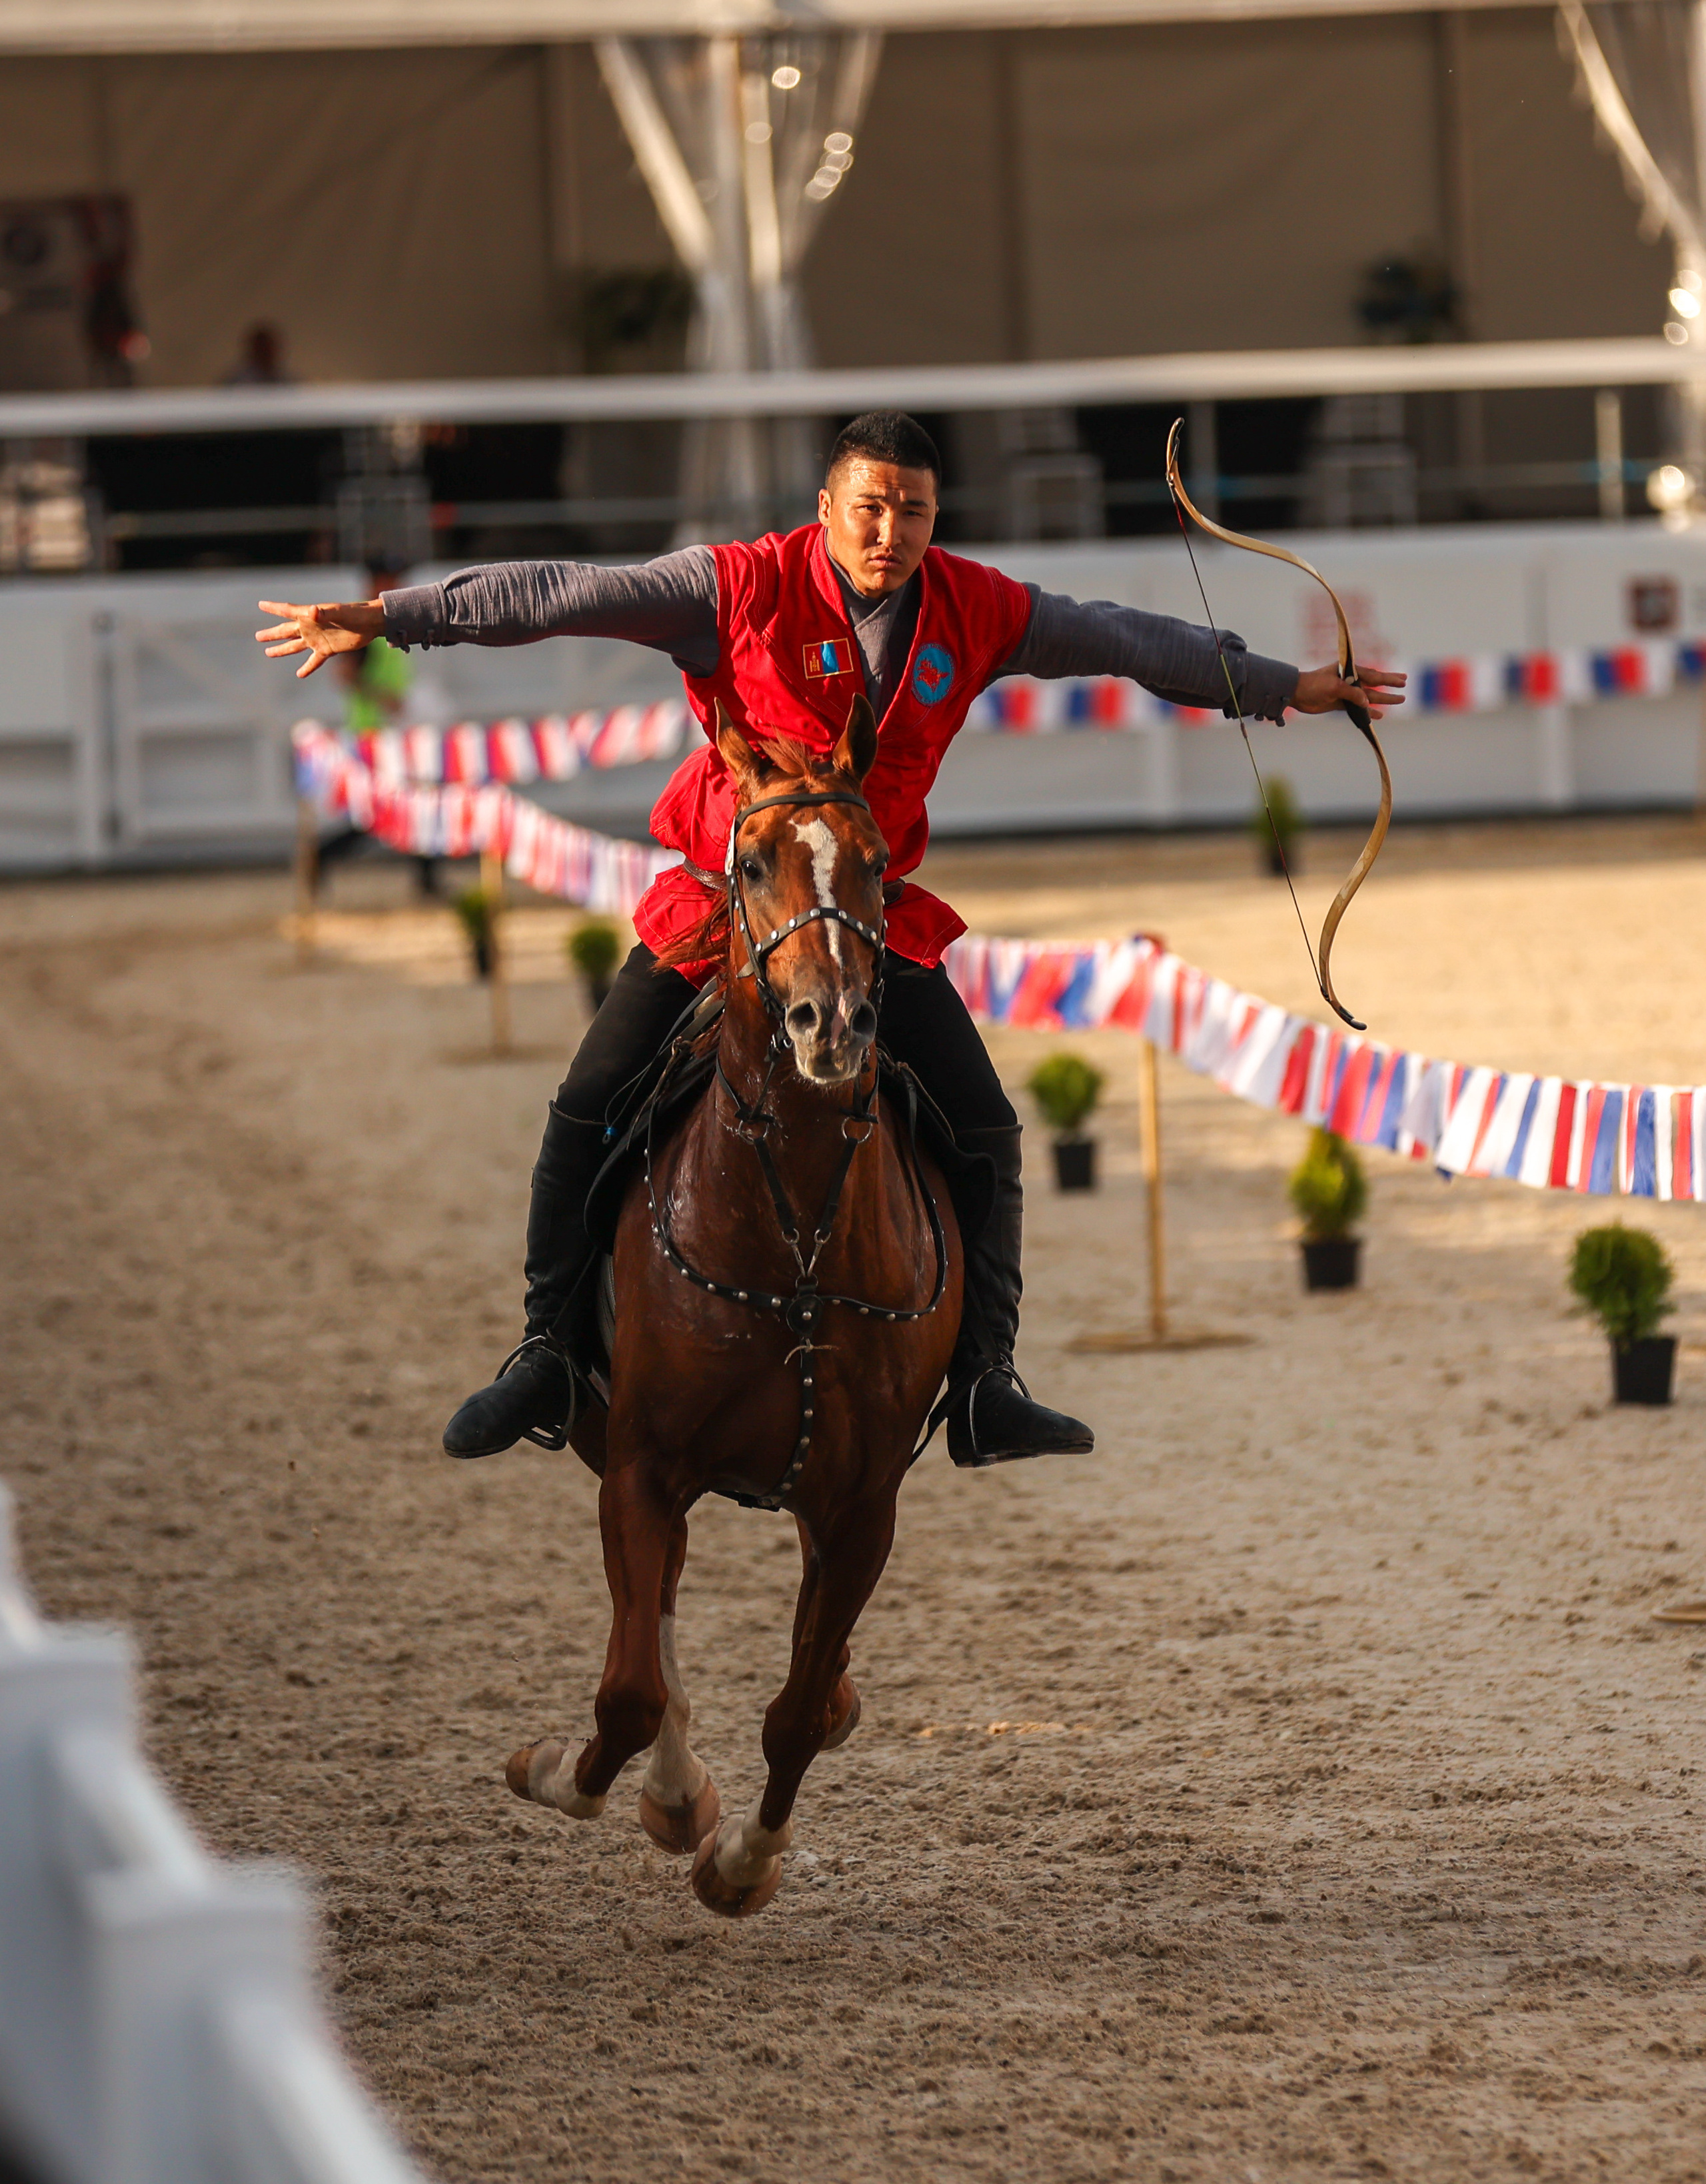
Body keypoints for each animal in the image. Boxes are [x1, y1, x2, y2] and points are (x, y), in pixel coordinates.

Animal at [505, 696, 965, 1917]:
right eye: (751, 862)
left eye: (878, 867)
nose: (830, 1022)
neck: (794, 1229)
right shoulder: (637, 1459)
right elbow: (629, 1689)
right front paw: (570, 1775)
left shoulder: (863, 1504)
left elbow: (796, 1711)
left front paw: (745, 1860)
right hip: (603, 1437)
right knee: (656, 1616)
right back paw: (670, 1794)